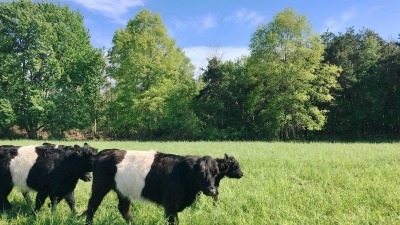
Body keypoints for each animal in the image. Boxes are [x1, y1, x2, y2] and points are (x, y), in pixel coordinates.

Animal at [85, 149, 223, 224]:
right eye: (201, 172)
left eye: (216, 173)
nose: (212, 190)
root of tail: (105, 152)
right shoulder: (170, 204)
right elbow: (173, 221)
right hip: (100, 187)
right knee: (92, 205)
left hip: (123, 189)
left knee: (124, 208)